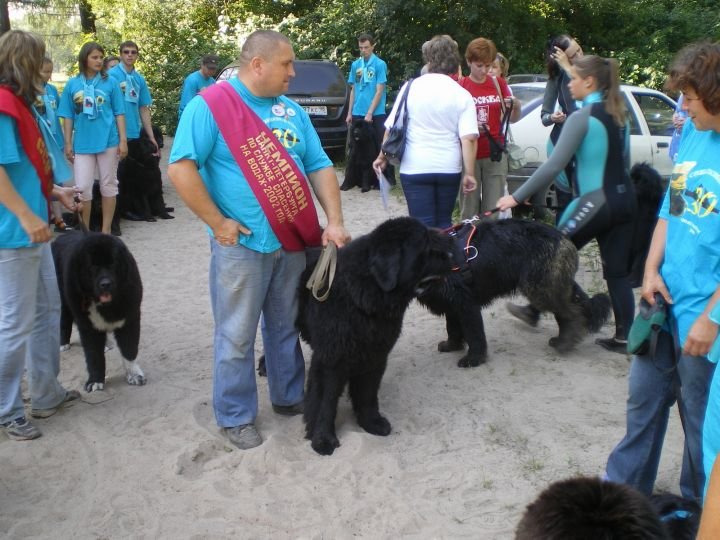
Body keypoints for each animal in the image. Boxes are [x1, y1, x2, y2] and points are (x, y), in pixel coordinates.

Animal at [52, 231, 145, 392]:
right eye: (92, 266)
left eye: (113, 263)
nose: (105, 284)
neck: (106, 305)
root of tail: (62, 235)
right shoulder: (87, 326)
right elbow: (93, 355)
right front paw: (95, 380)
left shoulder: (130, 318)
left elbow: (129, 349)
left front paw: (134, 374)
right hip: (62, 298)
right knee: (64, 319)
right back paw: (63, 343)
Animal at [298, 217, 455, 455]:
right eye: (426, 243)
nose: (454, 251)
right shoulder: (330, 359)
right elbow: (326, 401)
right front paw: (323, 438)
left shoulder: (376, 354)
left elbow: (368, 392)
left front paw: (371, 422)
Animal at [417, 218, 611, 367]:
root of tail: (564, 240)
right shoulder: (452, 305)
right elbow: (452, 328)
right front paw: (452, 345)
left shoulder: (467, 305)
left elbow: (474, 334)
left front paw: (474, 359)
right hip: (549, 287)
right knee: (565, 312)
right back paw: (562, 339)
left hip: (540, 289)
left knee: (572, 313)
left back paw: (568, 339)